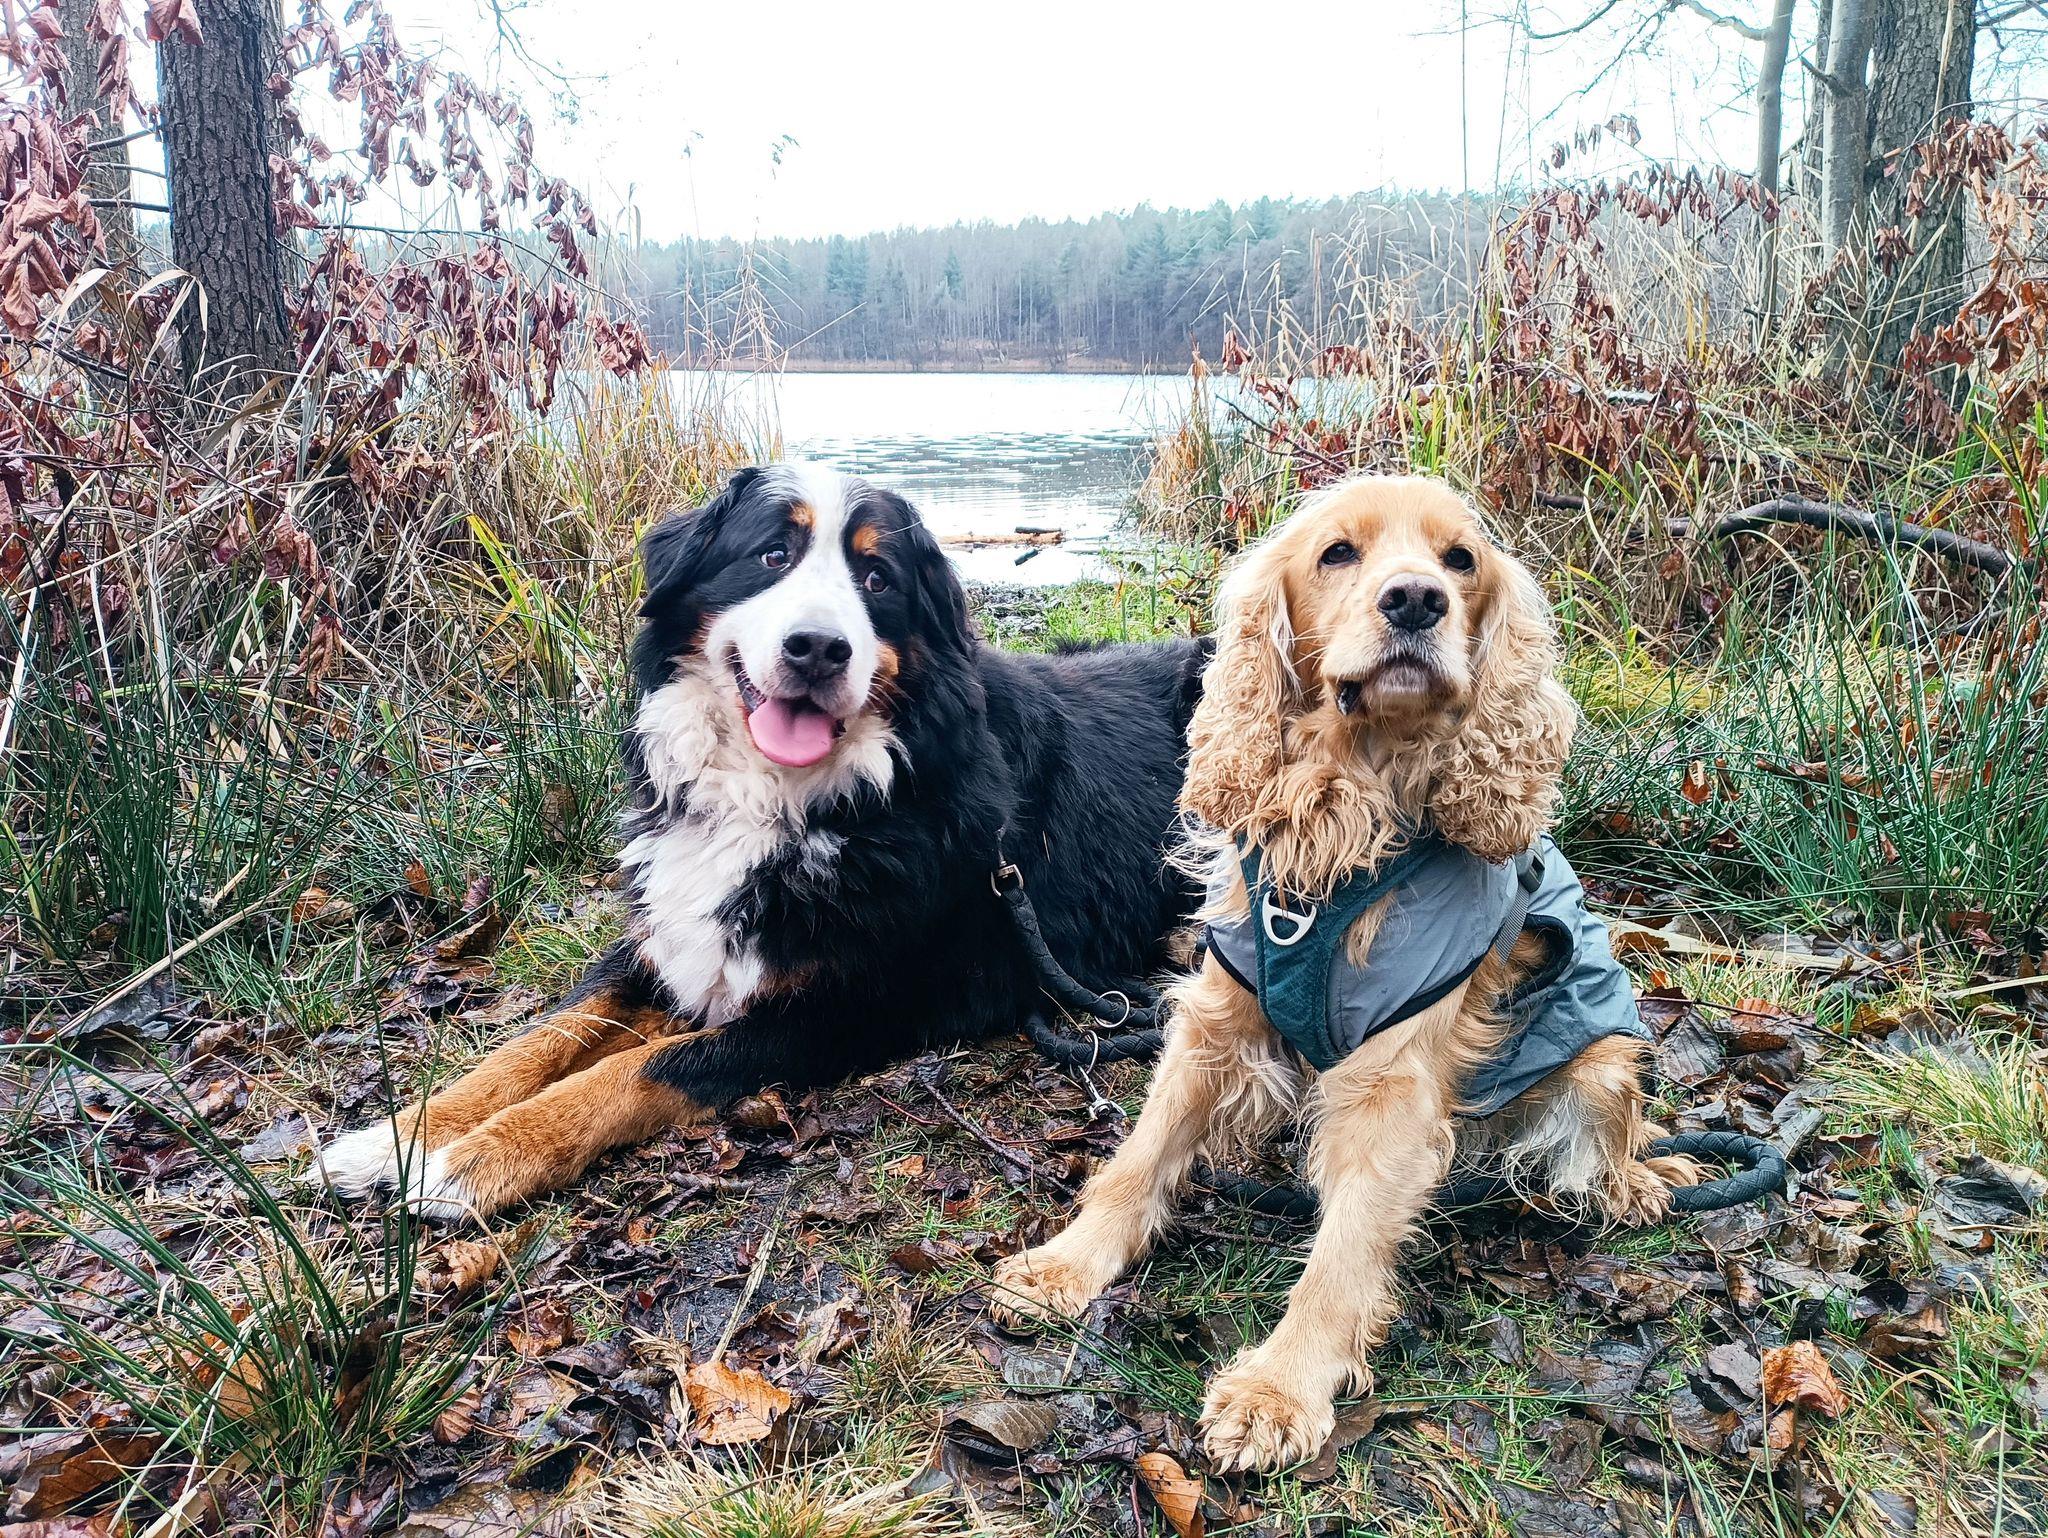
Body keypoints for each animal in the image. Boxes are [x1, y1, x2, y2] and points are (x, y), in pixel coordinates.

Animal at [309, 464, 1209, 1221]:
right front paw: (399, 1137)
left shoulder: (841, 1006)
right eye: (772, 554)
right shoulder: (663, 939)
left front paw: (477, 1161)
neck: (777, 796)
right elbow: (537, 1040)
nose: (817, 648)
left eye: (876, 580)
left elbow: (639, 1068)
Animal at [991, 475, 1695, 1472]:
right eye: (1338, 553)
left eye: (1460, 560)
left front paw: (1278, 1390)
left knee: (1604, 1138)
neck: (1347, 812)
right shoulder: (1216, 1016)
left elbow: (1347, 1247)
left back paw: (1630, 1181)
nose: (1416, 601)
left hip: (1601, 1061)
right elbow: (1140, 1155)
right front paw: (1067, 1263)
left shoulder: (1392, 1080)